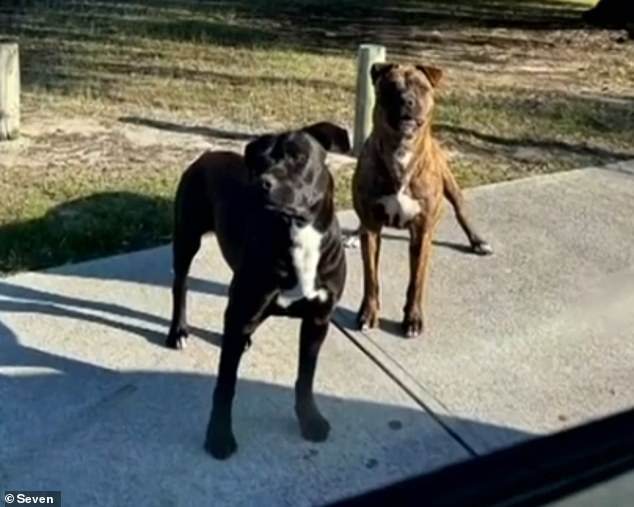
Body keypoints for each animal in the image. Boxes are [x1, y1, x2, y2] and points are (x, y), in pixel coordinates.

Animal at [165, 121, 350, 458]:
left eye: (299, 156)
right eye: (261, 161)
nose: (263, 183)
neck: (297, 231)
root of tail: (206, 155)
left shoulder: (318, 319)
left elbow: (306, 378)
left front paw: (309, 419)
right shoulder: (243, 310)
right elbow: (225, 384)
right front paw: (219, 435)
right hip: (186, 236)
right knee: (180, 285)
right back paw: (179, 331)